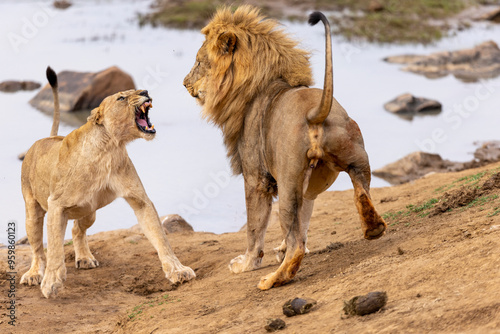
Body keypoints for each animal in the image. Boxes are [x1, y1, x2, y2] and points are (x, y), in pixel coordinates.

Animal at [21, 66, 195, 298]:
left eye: (137, 90)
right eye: (121, 97)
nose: (145, 91)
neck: (109, 147)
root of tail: (44, 139)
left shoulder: (139, 199)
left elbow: (160, 237)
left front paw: (177, 270)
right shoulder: (56, 205)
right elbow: (55, 248)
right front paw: (51, 283)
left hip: (89, 211)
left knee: (77, 230)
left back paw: (85, 258)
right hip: (33, 211)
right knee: (37, 248)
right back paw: (33, 274)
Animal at [184, 7, 386, 290]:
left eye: (199, 62)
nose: (184, 83)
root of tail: (313, 113)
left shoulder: (256, 178)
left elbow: (255, 227)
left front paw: (246, 264)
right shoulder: (309, 185)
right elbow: (306, 217)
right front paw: (277, 250)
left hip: (289, 183)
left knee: (296, 245)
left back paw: (271, 279)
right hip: (357, 158)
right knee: (361, 193)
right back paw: (373, 228)